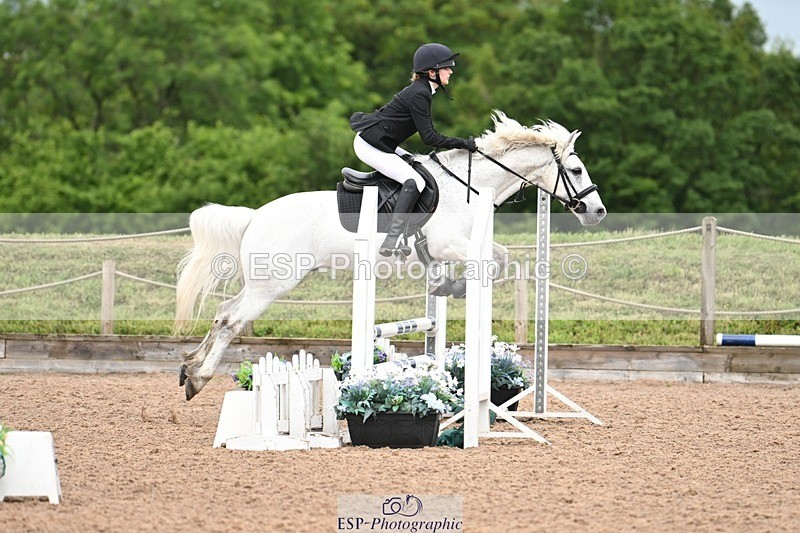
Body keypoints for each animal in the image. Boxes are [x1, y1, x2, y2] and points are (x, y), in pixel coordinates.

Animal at [174, 111, 606, 400]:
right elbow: (496, 261)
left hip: (263, 283)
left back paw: (189, 367)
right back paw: (199, 377)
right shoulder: (449, 244)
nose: (597, 211)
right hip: (274, 284)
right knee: (231, 320)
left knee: (223, 311)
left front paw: (448, 286)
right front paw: (456, 287)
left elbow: (500, 258)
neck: (469, 187)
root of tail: (255, 216)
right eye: (576, 170)